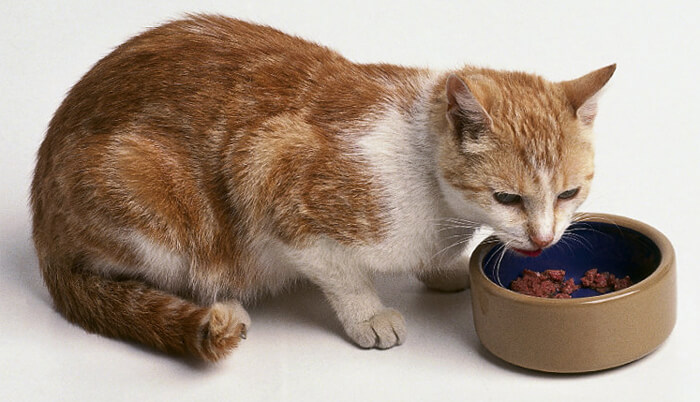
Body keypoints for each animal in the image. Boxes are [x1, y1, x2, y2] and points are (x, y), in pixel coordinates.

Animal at [31, 14, 612, 362]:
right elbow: (343, 274)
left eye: (568, 194)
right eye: (507, 198)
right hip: (148, 191)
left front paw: (443, 268)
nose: (543, 239)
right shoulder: (270, 174)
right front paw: (369, 314)